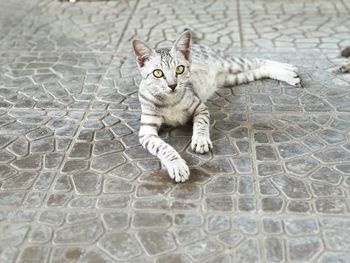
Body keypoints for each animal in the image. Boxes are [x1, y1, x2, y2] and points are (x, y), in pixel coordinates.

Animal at [133, 31, 300, 183]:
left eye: (179, 69)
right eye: (157, 73)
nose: (172, 85)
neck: (170, 100)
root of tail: (196, 45)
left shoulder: (200, 108)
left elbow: (201, 124)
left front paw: (200, 140)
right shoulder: (146, 131)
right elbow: (163, 148)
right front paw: (177, 166)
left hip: (231, 63)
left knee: (259, 61)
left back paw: (288, 69)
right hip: (233, 77)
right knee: (259, 70)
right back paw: (289, 74)